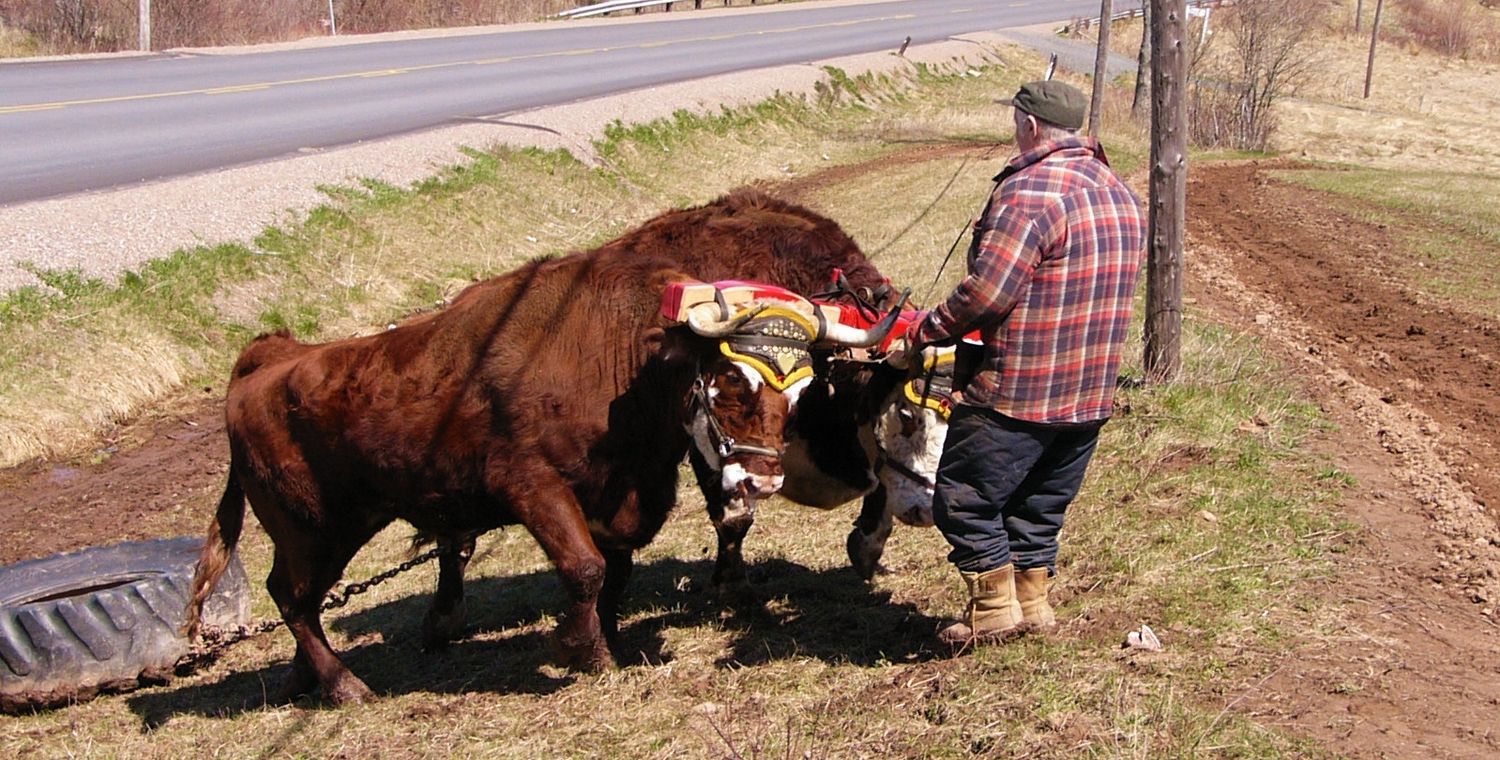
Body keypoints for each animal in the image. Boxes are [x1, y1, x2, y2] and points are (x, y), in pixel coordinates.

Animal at [183, 244, 897, 705]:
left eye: (801, 391)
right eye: (726, 380)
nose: (760, 482)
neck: (616, 360)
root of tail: (264, 362)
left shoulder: (619, 500)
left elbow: (615, 572)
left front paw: (607, 638)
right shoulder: (532, 487)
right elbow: (583, 569)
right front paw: (584, 651)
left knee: (296, 599)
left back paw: (304, 679)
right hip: (313, 529)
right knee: (291, 597)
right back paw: (343, 684)